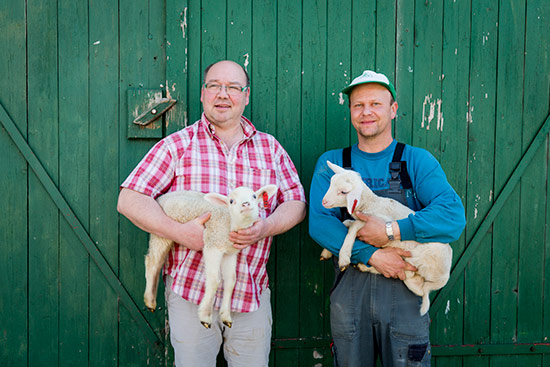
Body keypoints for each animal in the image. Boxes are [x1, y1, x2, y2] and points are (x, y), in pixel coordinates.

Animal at [143, 185, 278, 330]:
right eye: (231, 201)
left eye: (254, 196)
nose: (246, 204)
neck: (230, 222)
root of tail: (161, 198)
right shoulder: (212, 245)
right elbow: (214, 280)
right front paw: (205, 316)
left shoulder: (230, 253)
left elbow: (231, 281)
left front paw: (226, 316)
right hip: (161, 231)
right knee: (152, 262)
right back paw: (150, 301)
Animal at [320, 161, 452, 316]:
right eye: (331, 183)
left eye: (344, 192)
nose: (324, 202)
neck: (371, 204)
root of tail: (439, 281)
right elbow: (346, 223)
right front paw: (326, 252)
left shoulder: (379, 221)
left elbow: (354, 226)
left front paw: (344, 258)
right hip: (414, 276)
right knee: (406, 276)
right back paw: (364, 266)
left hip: (420, 256)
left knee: (407, 270)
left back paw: (364, 266)